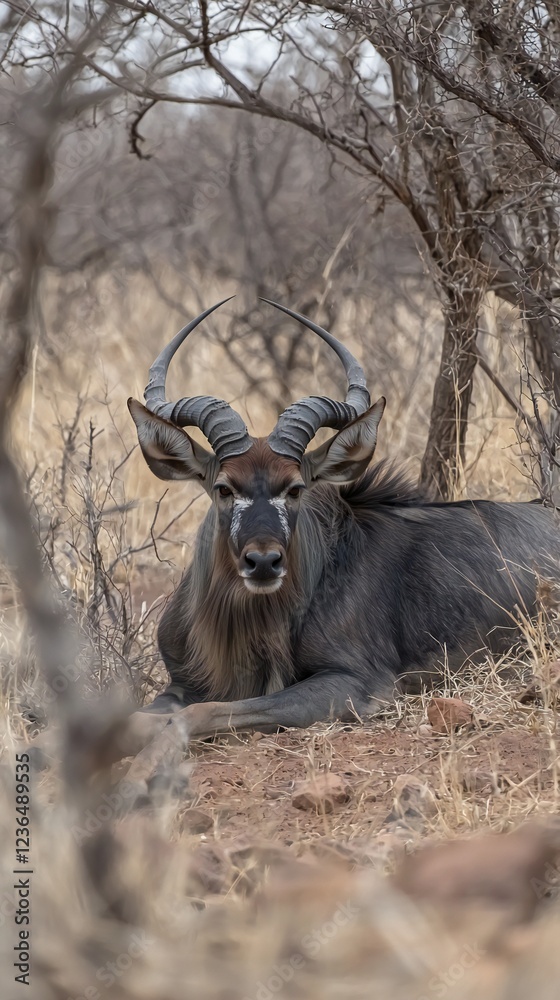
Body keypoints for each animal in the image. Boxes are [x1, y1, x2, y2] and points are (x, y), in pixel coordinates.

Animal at [121, 298, 559, 780]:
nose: (263, 562)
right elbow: (139, 717)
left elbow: (198, 712)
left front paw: (136, 780)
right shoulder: (181, 681)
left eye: (295, 488)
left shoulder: (349, 682)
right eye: (223, 488)